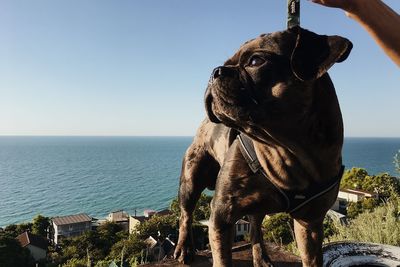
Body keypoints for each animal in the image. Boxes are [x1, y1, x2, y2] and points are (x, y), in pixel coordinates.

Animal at [173, 27, 352, 267]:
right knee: (186, 214)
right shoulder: (222, 215)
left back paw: (261, 257)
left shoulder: (310, 223)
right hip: (190, 180)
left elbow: (311, 259)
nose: (215, 71)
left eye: (256, 61)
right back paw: (184, 248)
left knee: (255, 226)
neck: (287, 151)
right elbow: (222, 258)